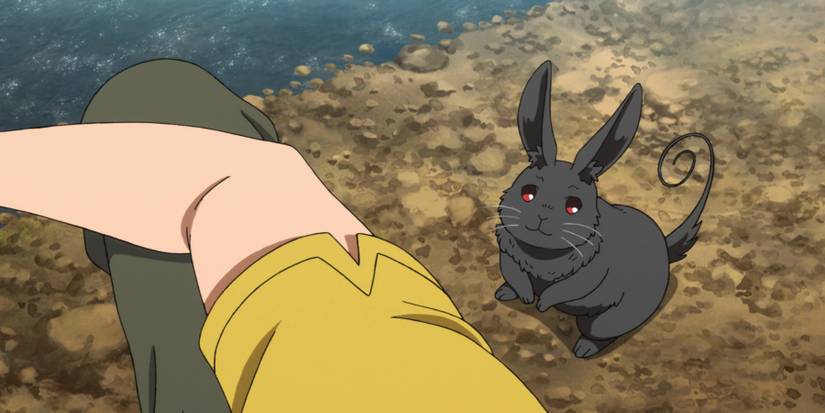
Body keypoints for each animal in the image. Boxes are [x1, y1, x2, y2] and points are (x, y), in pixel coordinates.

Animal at [493, 60, 715, 358]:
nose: (541, 217)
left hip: (611, 318)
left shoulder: (591, 273)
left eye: (573, 207)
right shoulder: (508, 252)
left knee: (600, 331)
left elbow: (566, 289)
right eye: (527, 193)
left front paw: (541, 304)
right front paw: (526, 296)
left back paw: (584, 349)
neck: (541, 254)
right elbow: (515, 273)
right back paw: (504, 293)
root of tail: (665, 248)